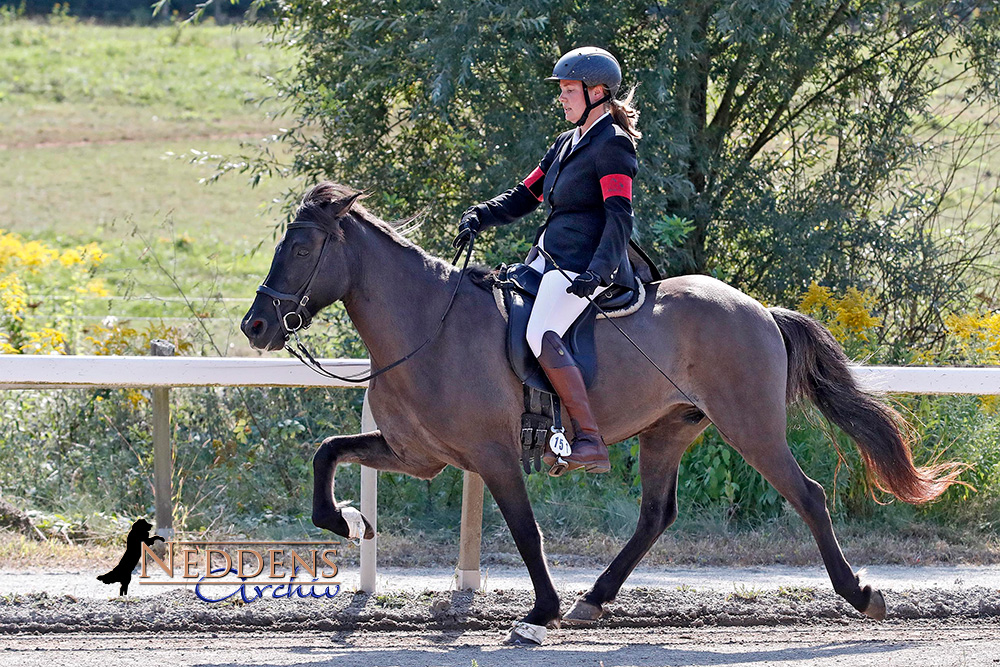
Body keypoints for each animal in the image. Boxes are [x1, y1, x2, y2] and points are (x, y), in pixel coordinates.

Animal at [238, 180, 964, 644]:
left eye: (301, 249)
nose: (255, 325)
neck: (427, 323)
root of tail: (758, 308)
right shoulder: (417, 455)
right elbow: (328, 451)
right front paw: (345, 520)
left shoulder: (493, 456)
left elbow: (526, 531)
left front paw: (541, 611)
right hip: (668, 430)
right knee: (655, 515)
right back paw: (596, 598)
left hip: (750, 427)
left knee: (808, 495)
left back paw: (860, 593)